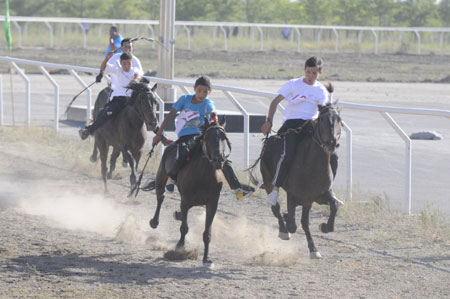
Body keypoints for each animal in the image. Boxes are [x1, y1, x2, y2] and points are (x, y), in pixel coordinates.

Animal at [149, 117, 230, 268]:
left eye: (224, 137)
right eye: (207, 138)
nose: (218, 160)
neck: (202, 175)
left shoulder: (212, 203)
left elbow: (207, 233)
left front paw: (206, 259)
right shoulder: (185, 201)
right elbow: (184, 228)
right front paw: (180, 247)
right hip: (161, 175)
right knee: (160, 196)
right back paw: (154, 221)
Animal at [253, 99, 342, 260]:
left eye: (340, 120)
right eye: (322, 119)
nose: (332, 143)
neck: (312, 167)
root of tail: (269, 140)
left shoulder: (319, 196)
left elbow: (333, 206)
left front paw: (325, 226)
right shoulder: (292, 195)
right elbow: (292, 225)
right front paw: (286, 222)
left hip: (307, 201)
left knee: (304, 221)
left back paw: (313, 249)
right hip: (269, 181)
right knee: (276, 207)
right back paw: (283, 230)